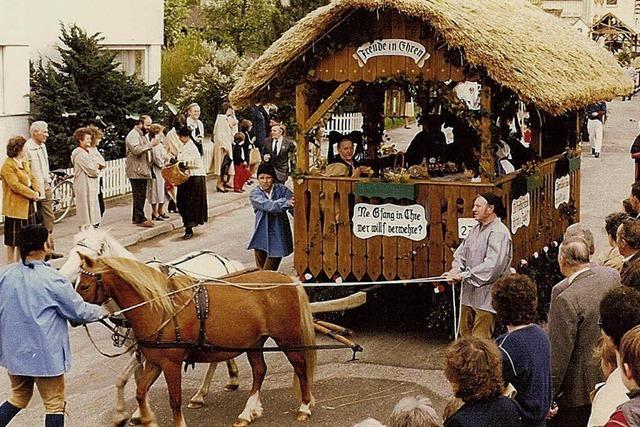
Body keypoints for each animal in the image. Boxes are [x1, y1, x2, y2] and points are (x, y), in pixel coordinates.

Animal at [58, 231, 244, 427]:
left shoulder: (145, 348)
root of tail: (222, 259)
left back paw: (201, 394)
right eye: (71, 251)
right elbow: (135, 379)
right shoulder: (137, 348)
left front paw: (126, 414)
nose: (61, 276)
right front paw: (137, 413)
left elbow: (122, 378)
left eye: (89, 256)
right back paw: (229, 378)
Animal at [76, 254, 316, 427]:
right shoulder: (155, 362)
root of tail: (287, 279)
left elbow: (174, 400)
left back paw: (304, 407)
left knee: (300, 366)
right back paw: (248, 412)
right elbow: (140, 392)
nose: (74, 316)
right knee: (259, 371)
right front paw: (146, 419)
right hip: (254, 342)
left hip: (286, 338)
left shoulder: (171, 364)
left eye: (84, 286)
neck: (160, 308)